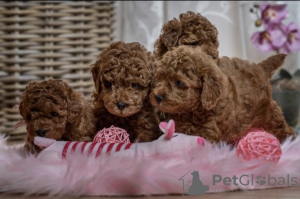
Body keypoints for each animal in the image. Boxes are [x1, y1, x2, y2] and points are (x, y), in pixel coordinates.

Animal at [150, 46, 296, 143]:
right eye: (159, 78)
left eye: (179, 83)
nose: (157, 97)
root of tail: (259, 67)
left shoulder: (208, 131)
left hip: (268, 111)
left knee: (280, 124)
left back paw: (289, 139)